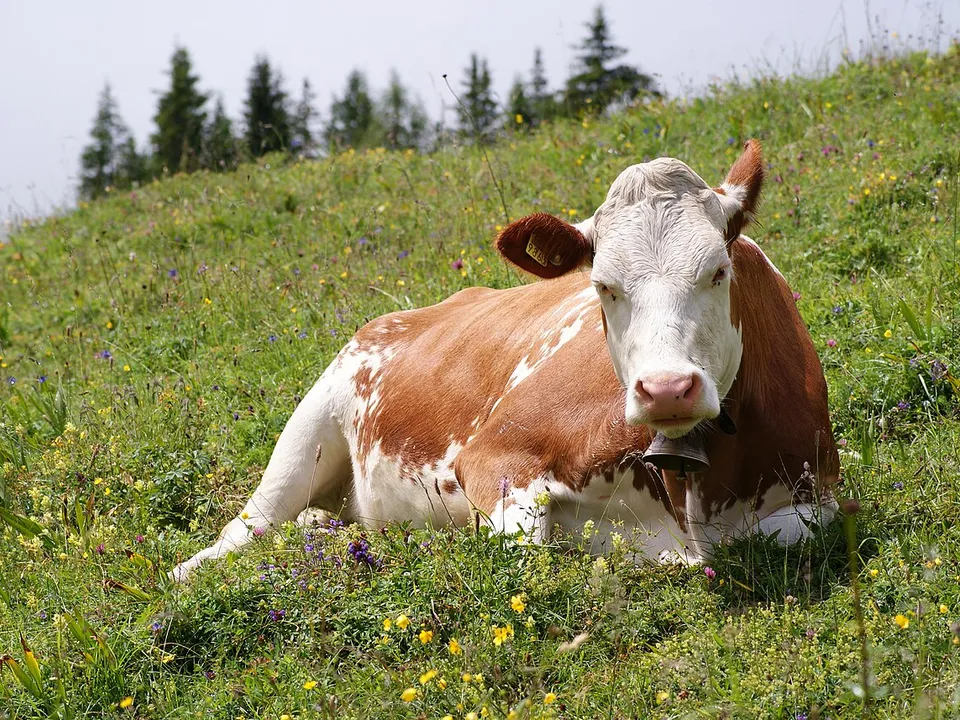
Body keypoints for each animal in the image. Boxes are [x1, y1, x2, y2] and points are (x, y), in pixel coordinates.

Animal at [172, 140, 839, 581]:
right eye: (603, 286)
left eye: (718, 270)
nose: (667, 388)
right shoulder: (495, 456)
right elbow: (527, 545)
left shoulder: (820, 492)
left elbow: (793, 531)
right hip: (309, 429)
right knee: (246, 529)